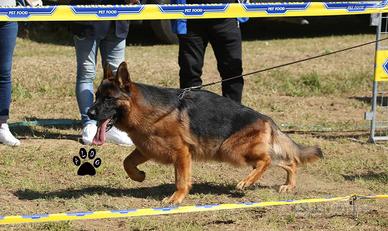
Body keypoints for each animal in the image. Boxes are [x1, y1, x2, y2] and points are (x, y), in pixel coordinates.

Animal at [88, 61, 324, 204]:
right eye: (97, 96)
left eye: (109, 99)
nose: (89, 113)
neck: (148, 110)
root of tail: (266, 118)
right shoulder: (147, 149)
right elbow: (127, 163)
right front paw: (139, 176)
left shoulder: (182, 154)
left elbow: (181, 180)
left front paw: (176, 199)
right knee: (289, 161)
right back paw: (288, 185)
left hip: (231, 150)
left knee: (267, 160)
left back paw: (247, 182)